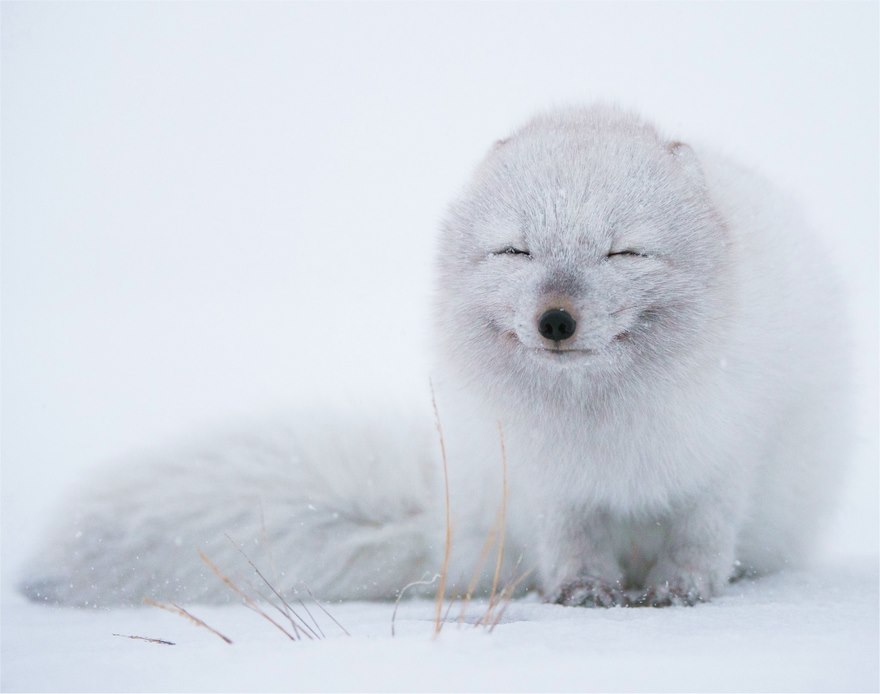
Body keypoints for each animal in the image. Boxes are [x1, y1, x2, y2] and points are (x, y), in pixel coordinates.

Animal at [20, 106, 849, 608]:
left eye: (625, 251)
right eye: (515, 251)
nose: (555, 319)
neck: (599, 422)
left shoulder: (724, 456)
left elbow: (701, 536)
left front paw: (681, 592)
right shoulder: (547, 480)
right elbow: (572, 543)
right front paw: (583, 594)